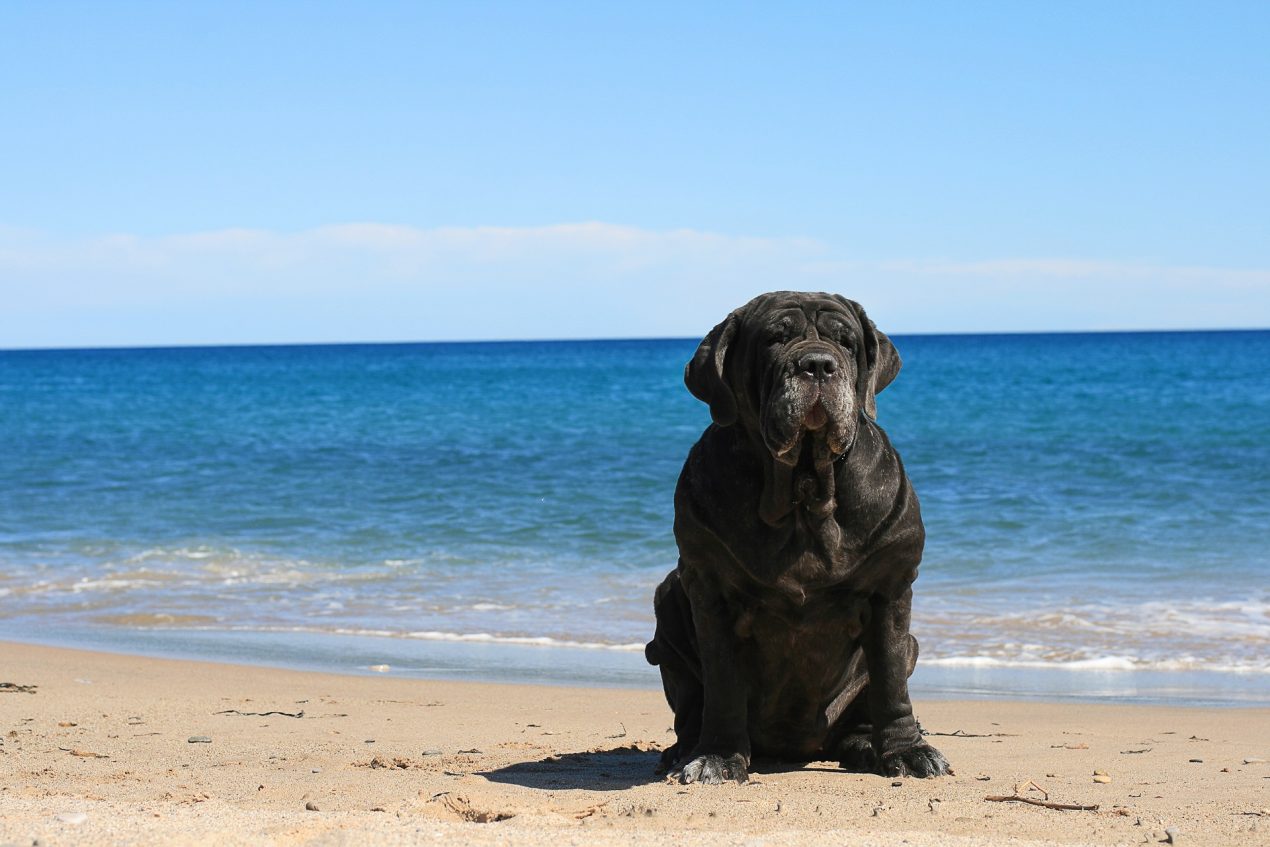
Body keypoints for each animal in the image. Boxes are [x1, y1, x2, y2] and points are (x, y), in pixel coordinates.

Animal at [645, 293, 955, 787]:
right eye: (775, 339)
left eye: (846, 342)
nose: (818, 364)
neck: (803, 492)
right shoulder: (708, 589)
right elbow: (723, 683)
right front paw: (717, 757)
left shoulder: (890, 587)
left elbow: (890, 681)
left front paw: (907, 751)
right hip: (669, 600)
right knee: (691, 704)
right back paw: (682, 751)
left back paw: (864, 745)